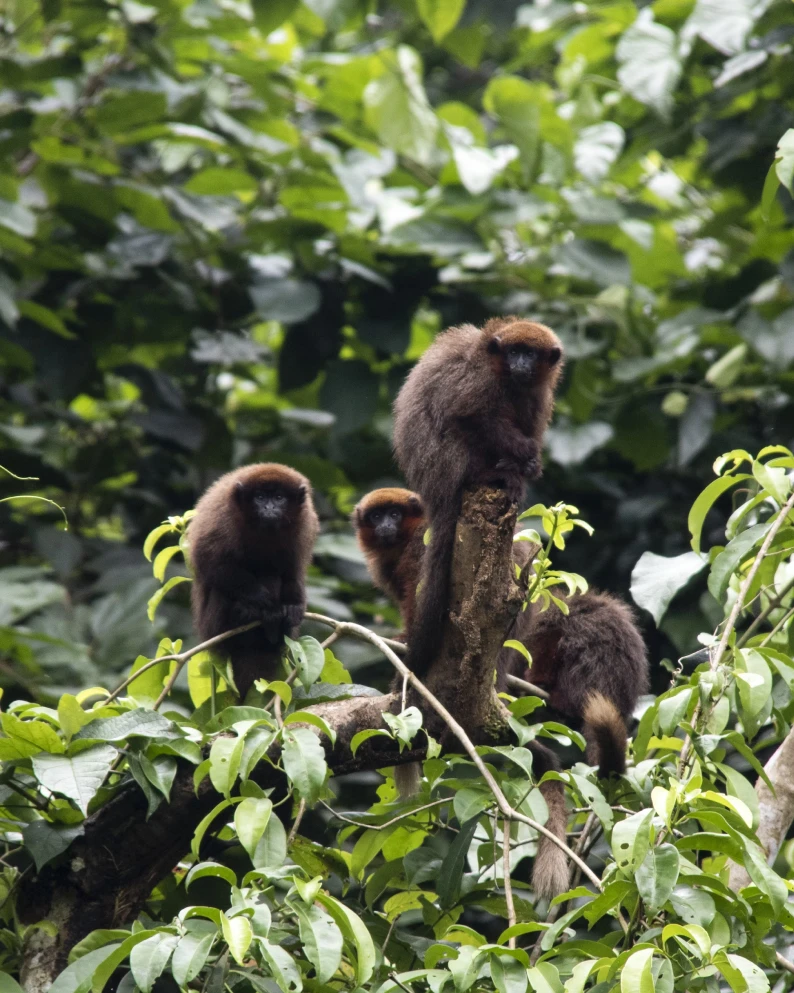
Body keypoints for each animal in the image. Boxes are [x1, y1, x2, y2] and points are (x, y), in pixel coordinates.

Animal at [189, 463, 320, 699]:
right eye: (259, 497)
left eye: (278, 497)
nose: (269, 507)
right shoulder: (222, 515)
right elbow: (209, 561)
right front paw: (259, 597)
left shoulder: (305, 523)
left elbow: (292, 571)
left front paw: (293, 606)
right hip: (211, 626)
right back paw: (243, 614)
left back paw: (275, 630)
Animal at [392, 317, 563, 679]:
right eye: (514, 352)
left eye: (529, 354)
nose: (520, 364)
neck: (506, 375)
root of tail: (434, 489)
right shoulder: (481, 379)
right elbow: (467, 415)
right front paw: (524, 454)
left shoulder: (539, 395)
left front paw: (528, 464)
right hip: (447, 463)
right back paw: (492, 476)